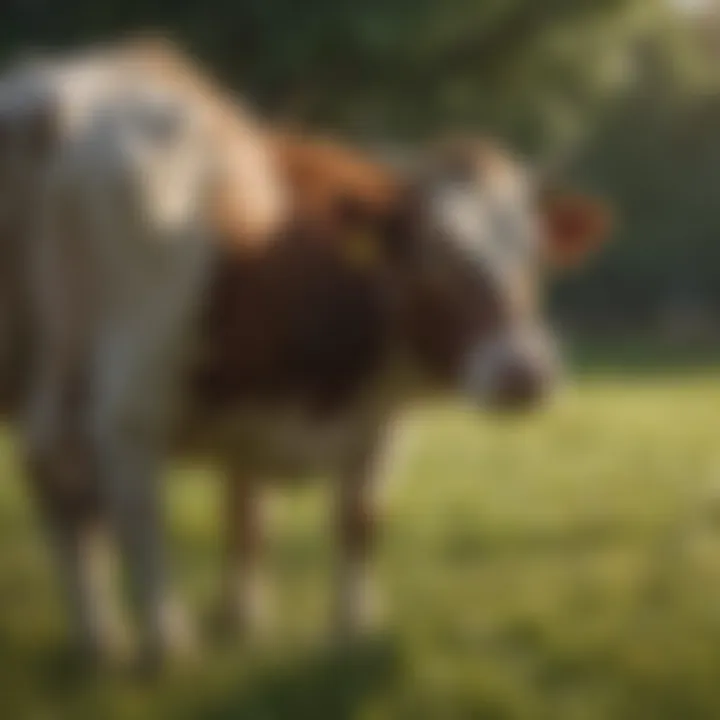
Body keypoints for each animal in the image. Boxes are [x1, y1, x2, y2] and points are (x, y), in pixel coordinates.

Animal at [2, 39, 612, 668]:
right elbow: (358, 520)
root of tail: (52, 97)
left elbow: (247, 517)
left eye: (535, 255)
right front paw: (354, 628)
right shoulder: (377, 422)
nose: (524, 373)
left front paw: (242, 620)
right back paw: (165, 640)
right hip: (133, 378)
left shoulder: (254, 411)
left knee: (60, 488)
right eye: (430, 255)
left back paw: (98, 641)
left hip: (38, 369)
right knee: (132, 499)